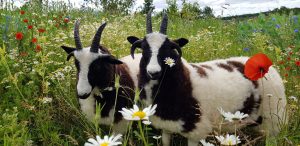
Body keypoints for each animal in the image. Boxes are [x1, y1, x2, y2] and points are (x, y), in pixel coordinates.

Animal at [126, 12, 286, 145]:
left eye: (168, 49)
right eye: (143, 49)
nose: (153, 72)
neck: (184, 80)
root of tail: (265, 65)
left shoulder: (197, 130)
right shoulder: (166, 126)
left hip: (273, 119)